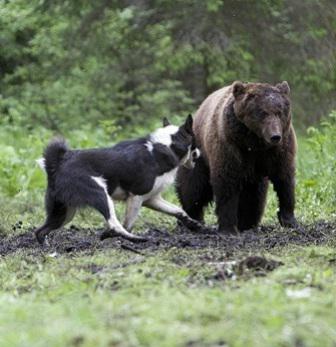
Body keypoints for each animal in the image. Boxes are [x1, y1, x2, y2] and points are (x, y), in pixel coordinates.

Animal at [35, 115, 201, 245]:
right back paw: (135, 239)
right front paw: (111, 235)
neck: (166, 146)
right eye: (196, 141)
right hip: (100, 194)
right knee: (115, 224)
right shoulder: (136, 197)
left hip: (63, 212)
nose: (199, 153)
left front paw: (192, 224)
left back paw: (45, 246)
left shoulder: (151, 199)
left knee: (40, 231)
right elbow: (128, 224)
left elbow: (178, 210)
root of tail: (58, 163)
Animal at [177, 80, 298, 235]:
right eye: (262, 113)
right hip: (199, 153)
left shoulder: (279, 150)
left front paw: (290, 221)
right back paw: (191, 219)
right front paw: (228, 229)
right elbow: (227, 183)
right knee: (193, 187)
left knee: (255, 195)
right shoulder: (230, 146)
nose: (275, 136)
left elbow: (284, 179)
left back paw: (248, 223)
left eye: (279, 112)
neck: (254, 142)